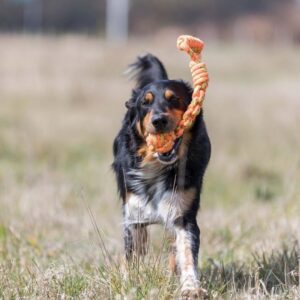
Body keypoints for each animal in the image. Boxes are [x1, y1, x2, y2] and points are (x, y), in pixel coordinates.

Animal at [112, 54, 211, 298]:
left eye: (174, 99)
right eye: (145, 103)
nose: (158, 120)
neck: (157, 165)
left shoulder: (183, 213)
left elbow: (185, 251)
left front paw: (190, 287)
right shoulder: (133, 213)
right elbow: (133, 255)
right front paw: (130, 284)